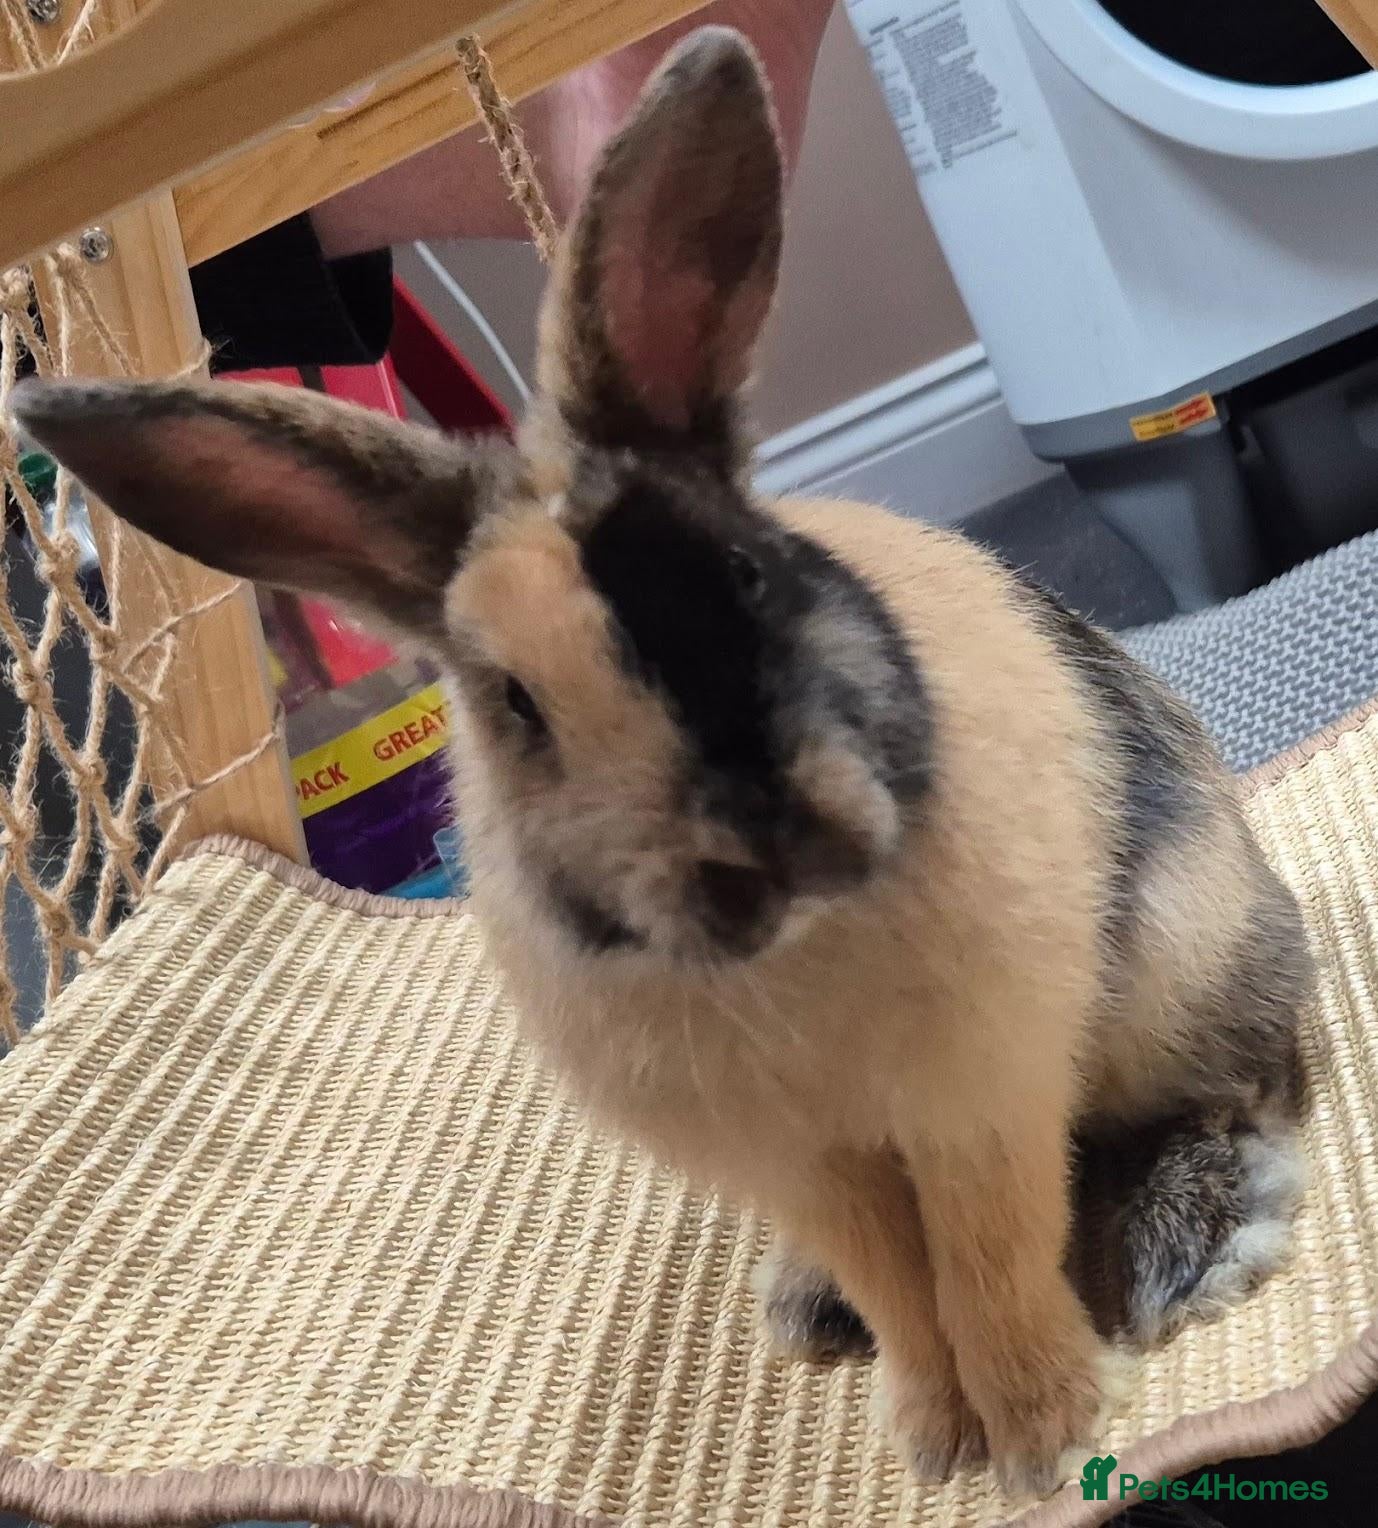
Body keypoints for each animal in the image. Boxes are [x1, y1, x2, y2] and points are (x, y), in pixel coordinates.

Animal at [12, 26, 1313, 1496]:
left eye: (744, 571)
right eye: (513, 703)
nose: (760, 847)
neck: (792, 953)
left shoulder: (977, 1099)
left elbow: (987, 1261)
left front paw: (1043, 1442)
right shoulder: (808, 1161)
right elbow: (906, 1290)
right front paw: (933, 1442)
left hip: (1178, 970)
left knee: (1238, 1082)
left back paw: (1181, 1245)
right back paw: (811, 1308)